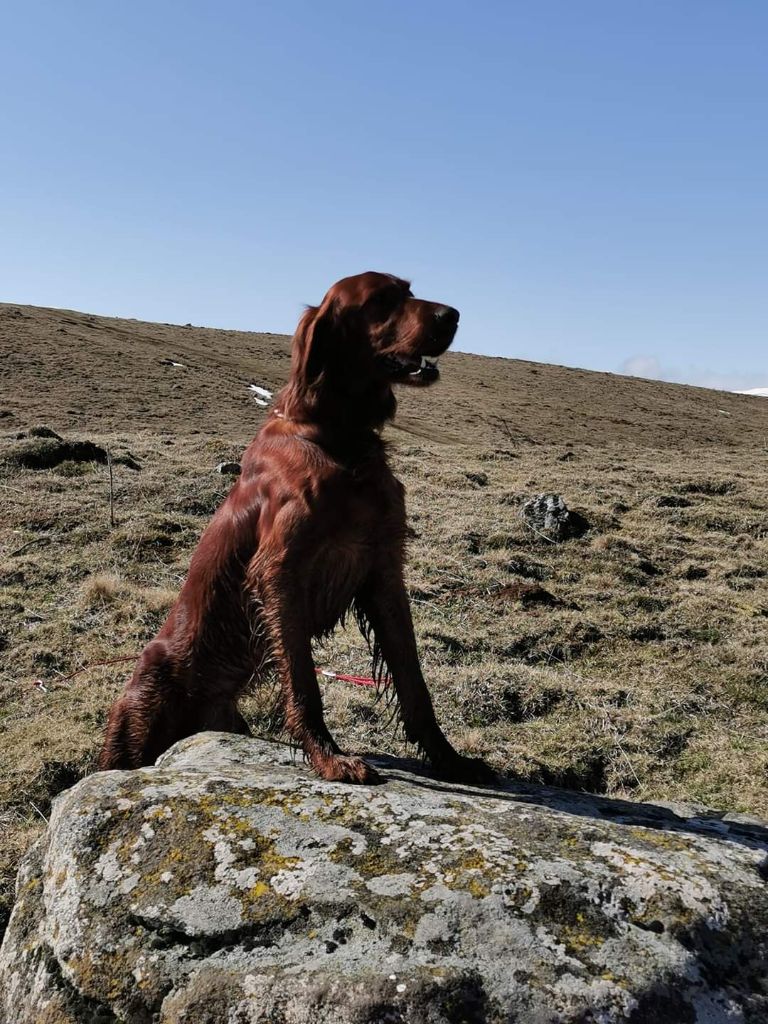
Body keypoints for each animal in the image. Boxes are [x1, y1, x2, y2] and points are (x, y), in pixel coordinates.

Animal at [99, 272, 493, 782]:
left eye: (408, 290)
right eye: (381, 300)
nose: (453, 315)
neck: (339, 439)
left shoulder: (382, 571)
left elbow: (413, 680)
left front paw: (449, 759)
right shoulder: (280, 572)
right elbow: (304, 682)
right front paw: (329, 757)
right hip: (141, 712)